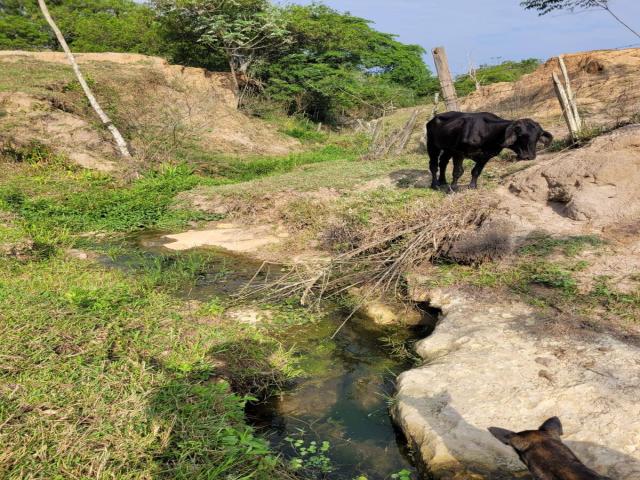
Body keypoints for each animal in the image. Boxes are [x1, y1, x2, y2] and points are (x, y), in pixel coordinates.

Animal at [424, 111, 552, 189]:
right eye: (521, 135)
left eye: (537, 137)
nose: (529, 156)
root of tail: (434, 118)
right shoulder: (458, 152)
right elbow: (458, 171)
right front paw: (454, 188)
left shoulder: (486, 156)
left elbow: (476, 171)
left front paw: (472, 187)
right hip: (432, 145)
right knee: (434, 165)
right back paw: (435, 184)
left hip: (447, 149)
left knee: (443, 162)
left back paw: (443, 181)